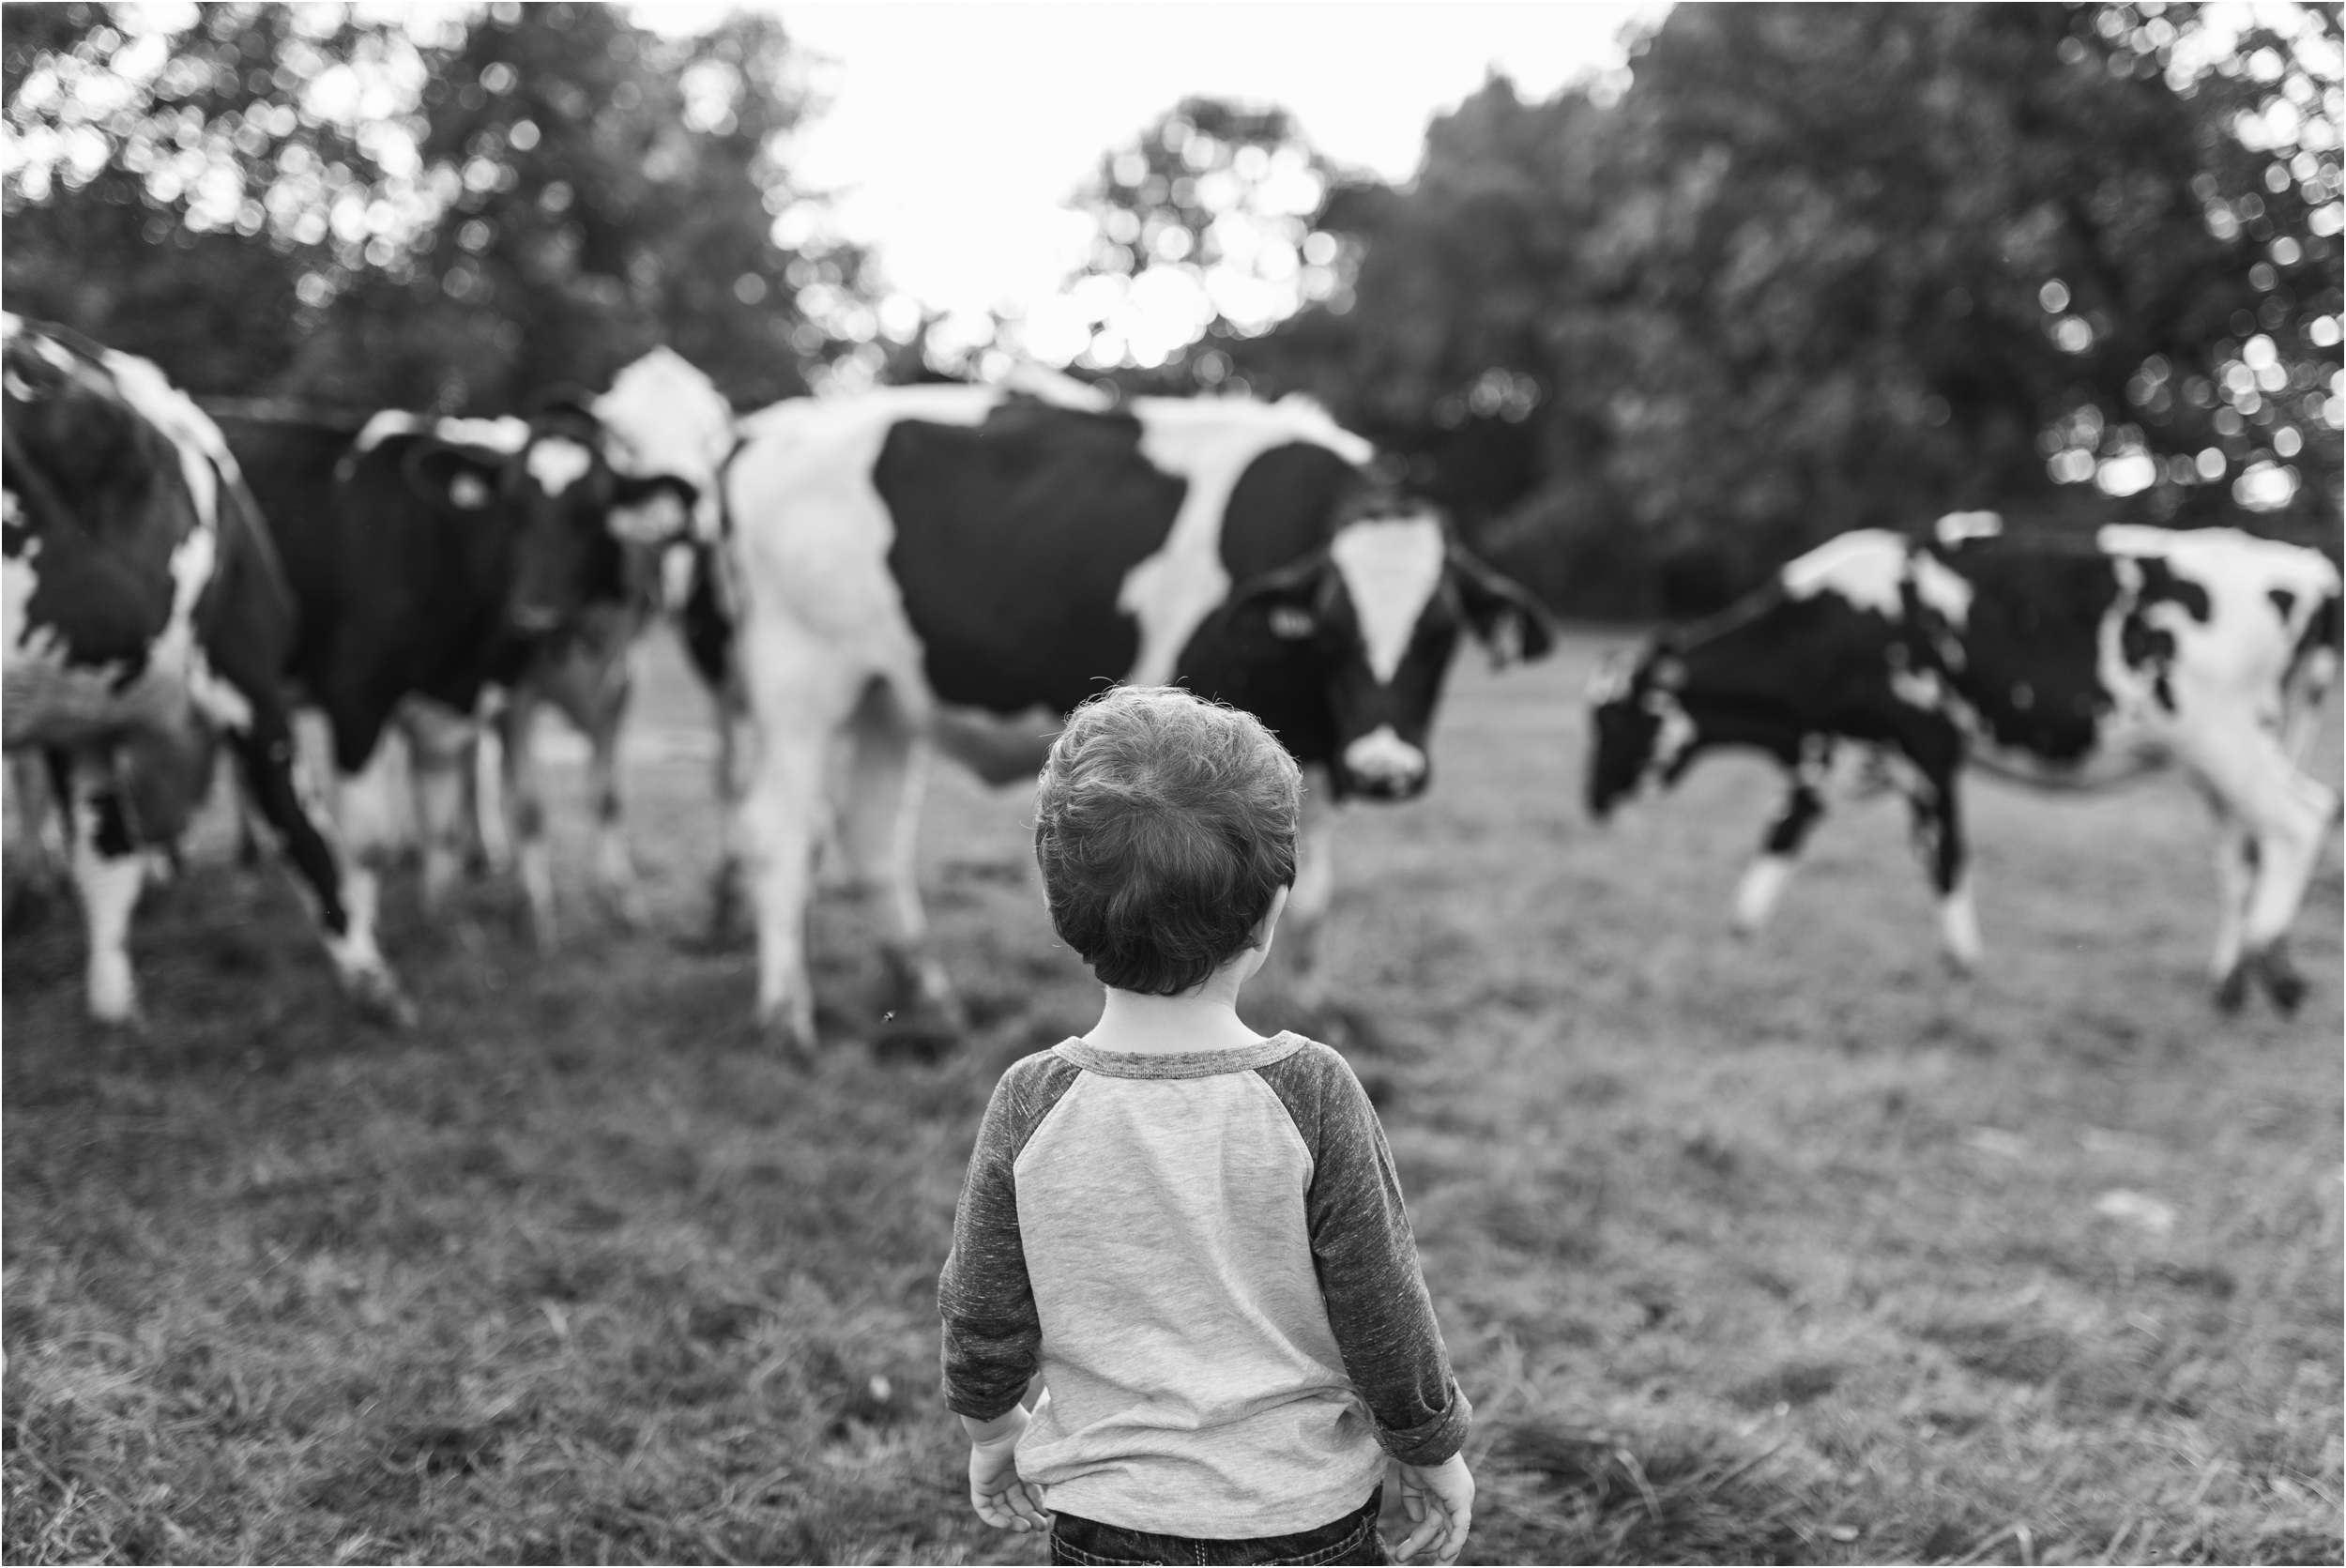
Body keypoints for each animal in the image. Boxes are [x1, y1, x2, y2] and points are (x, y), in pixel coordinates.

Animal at [3, 319, 408, 1028]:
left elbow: (108, 856)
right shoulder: (251, 677)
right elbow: (303, 830)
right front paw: (370, 980)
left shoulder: (87, 722)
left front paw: (115, 1008)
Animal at [217, 401, 694, 943]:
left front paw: (442, 924)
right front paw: (361, 929)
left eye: (593, 516)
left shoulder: (451, 707)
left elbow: (442, 827)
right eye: (511, 511)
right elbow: (367, 842)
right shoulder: (357, 700)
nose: (535, 617)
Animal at [704, 380, 1558, 1046]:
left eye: (1441, 632)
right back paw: (787, 1016)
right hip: (800, 676)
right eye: (1333, 627)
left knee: (871, 831)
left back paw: (929, 997)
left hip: (885, 690)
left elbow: (1312, 895)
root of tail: (766, 429)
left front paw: (1322, 1009)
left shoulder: (1317, 753)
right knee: (781, 830)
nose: (1386, 770)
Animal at [1586, 513, 2337, 1018]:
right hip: (2218, 757)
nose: (1591, 799)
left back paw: (2274, 965)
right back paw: (2230, 983)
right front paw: (1735, 943)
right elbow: (1777, 845)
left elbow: (1946, 858)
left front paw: (1963, 968)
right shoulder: (1830, 760)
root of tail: (2305, 570)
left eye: (1614, 720)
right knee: (2240, 856)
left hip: (2223, 739)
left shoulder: (1929, 747)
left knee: (2300, 818)